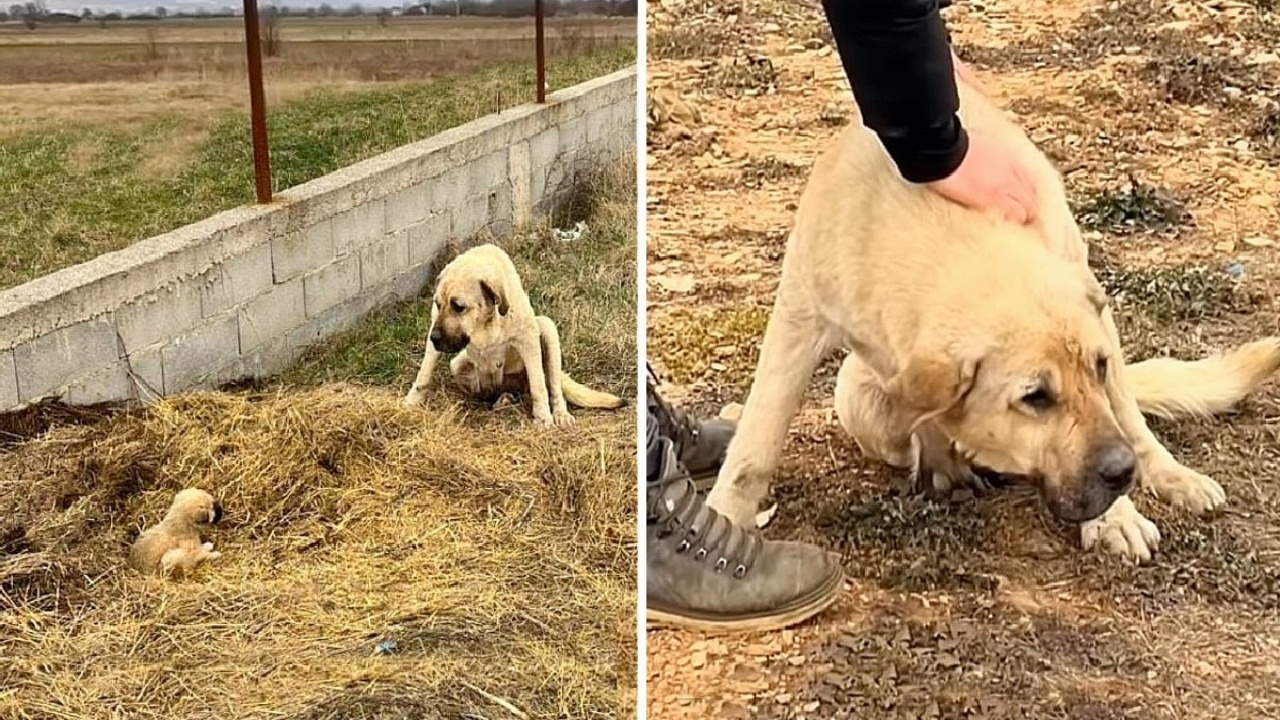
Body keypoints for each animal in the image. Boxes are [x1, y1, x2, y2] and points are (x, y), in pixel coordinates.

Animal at [396, 240, 622, 425]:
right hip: (458, 364)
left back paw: (559, 414)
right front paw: (411, 402)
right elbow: (424, 374)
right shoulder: (436, 328)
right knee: (492, 392)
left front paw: (543, 417)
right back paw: (503, 399)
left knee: (553, 385)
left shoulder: (528, 338)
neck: (485, 322)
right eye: (438, 304)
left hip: (547, 328)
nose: (434, 338)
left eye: (459, 307)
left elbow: (539, 385)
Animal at [706, 68, 1280, 561]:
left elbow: (1121, 417)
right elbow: (754, 448)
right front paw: (722, 523)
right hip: (859, 400)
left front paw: (1116, 516)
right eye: (1035, 397)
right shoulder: (798, 318)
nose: (1122, 474)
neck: (942, 224)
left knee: (1133, 420)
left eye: (1094, 368)